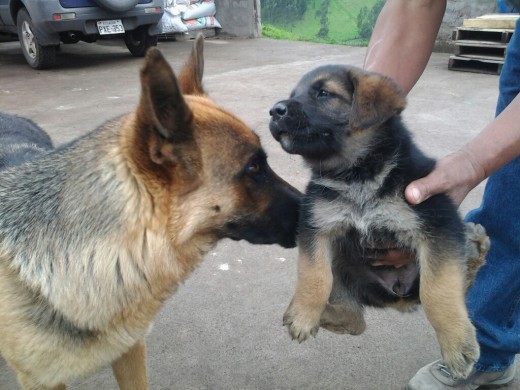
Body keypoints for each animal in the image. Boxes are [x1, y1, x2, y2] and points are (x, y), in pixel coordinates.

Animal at [270, 65, 490, 380]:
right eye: (294, 94)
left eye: (323, 93)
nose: (274, 111)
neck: (357, 175)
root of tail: (398, 297)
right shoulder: (317, 227)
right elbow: (315, 276)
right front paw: (303, 315)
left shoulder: (438, 226)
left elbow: (438, 290)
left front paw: (457, 343)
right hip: (343, 261)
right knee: (355, 321)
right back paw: (322, 314)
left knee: (451, 281)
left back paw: (475, 248)